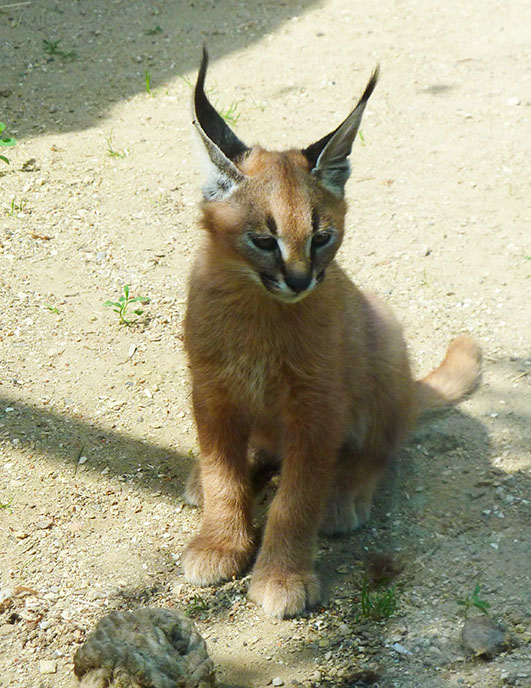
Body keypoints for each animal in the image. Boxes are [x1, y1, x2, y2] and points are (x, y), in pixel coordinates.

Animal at [180, 49, 482, 620]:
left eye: (322, 238)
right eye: (263, 240)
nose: (300, 280)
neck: (260, 311)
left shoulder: (316, 409)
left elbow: (296, 500)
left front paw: (282, 575)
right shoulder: (211, 393)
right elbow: (223, 473)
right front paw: (219, 541)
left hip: (385, 334)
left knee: (381, 447)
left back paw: (345, 497)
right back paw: (207, 478)